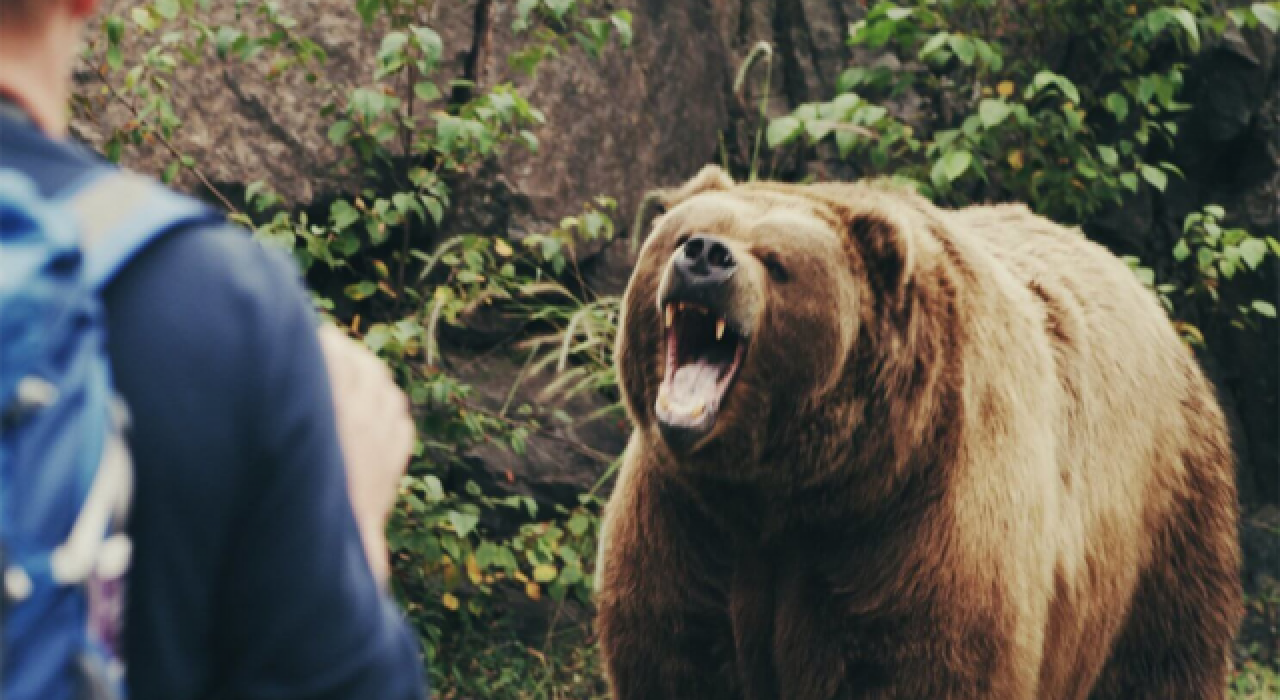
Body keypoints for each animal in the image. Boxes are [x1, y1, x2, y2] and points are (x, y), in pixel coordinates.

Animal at [593, 167, 1244, 700]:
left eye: (776, 261)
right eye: (685, 233)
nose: (706, 256)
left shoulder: (920, 521)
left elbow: (926, 664)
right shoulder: (687, 520)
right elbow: (676, 653)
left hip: (1162, 521)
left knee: (1163, 659)